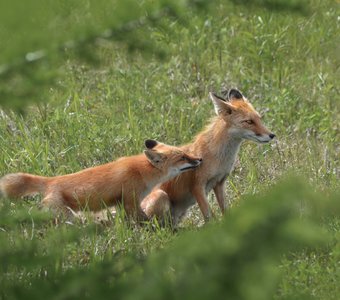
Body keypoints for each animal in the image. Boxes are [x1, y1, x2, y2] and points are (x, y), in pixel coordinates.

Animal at [0, 139, 202, 219]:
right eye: (183, 157)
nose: (200, 159)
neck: (141, 172)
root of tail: (51, 181)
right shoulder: (131, 200)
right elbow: (143, 220)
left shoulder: (122, 203)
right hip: (65, 215)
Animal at [141, 89, 276, 225]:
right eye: (249, 122)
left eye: (259, 119)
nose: (272, 135)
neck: (218, 158)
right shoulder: (197, 187)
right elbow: (208, 216)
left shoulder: (219, 183)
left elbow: (225, 210)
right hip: (161, 197)